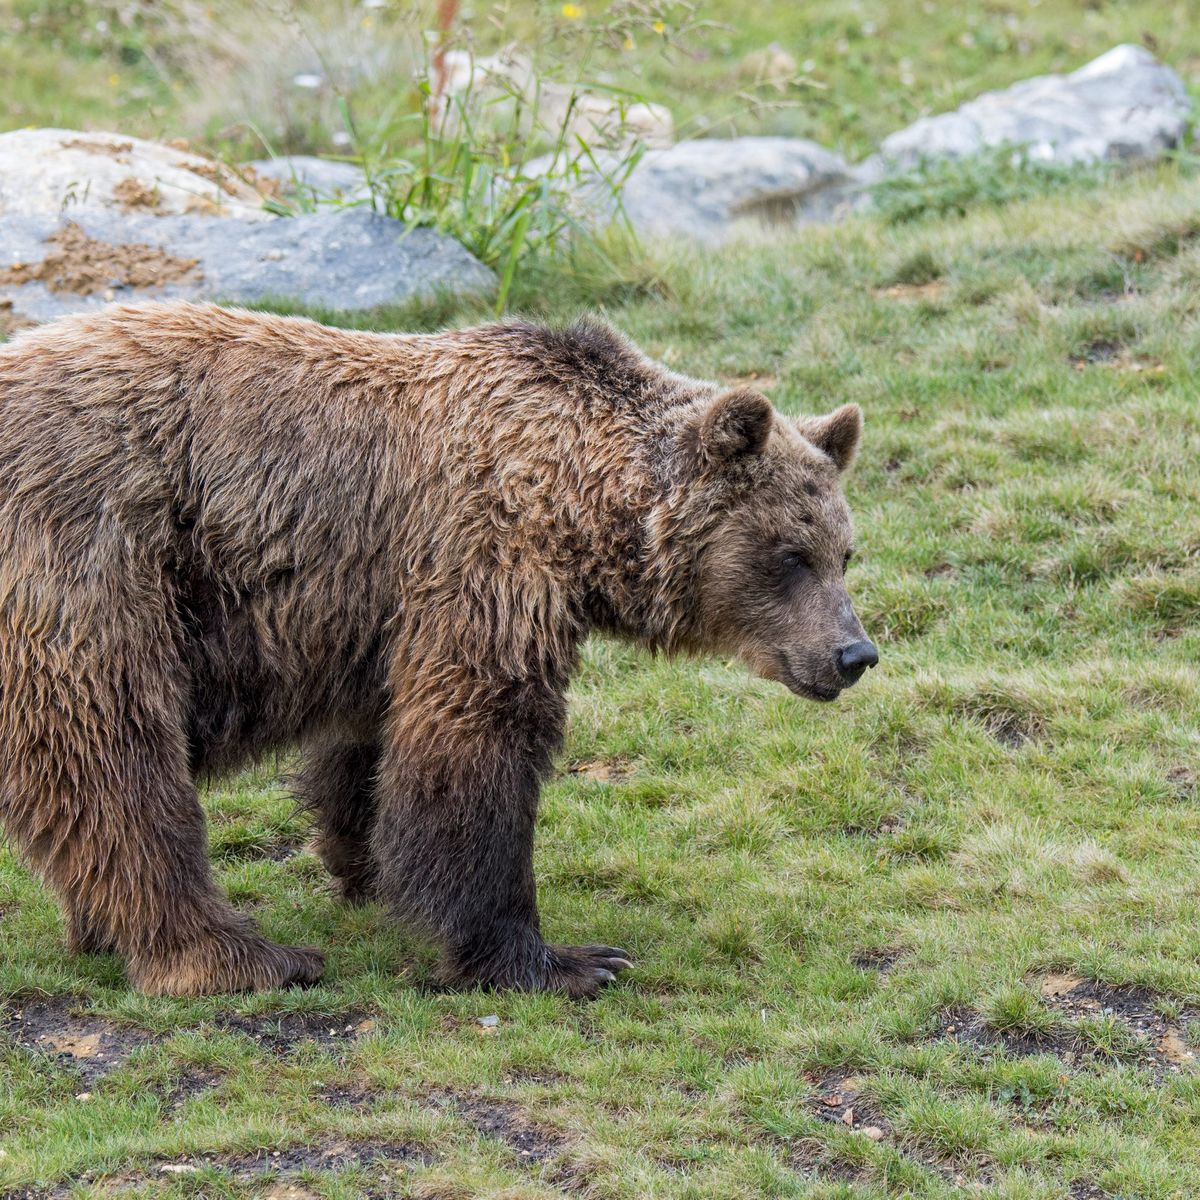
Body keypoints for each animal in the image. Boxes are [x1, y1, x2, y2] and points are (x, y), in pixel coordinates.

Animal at [0, 304, 883, 998]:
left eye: (844, 552)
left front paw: (364, 862)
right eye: (789, 555)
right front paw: (558, 958)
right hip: (95, 555)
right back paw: (237, 954)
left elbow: (374, 746)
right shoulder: (481, 561)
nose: (854, 654)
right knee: (113, 757)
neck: (577, 506)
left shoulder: (379, 606)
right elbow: (474, 748)